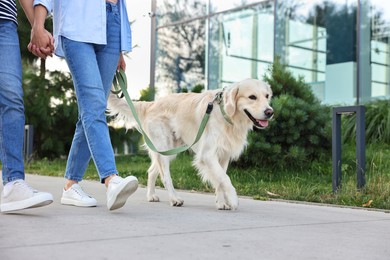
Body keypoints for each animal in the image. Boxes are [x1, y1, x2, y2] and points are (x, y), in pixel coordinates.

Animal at [108, 78, 272, 209]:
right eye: (252, 97)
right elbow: (224, 178)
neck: (226, 113)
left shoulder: (223, 155)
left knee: (152, 170)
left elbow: (220, 179)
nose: (270, 112)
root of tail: (152, 104)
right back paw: (174, 198)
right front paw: (232, 199)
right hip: (163, 146)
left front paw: (221, 203)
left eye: (267, 96)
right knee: (165, 176)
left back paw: (151, 195)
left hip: (169, 149)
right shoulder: (207, 155)